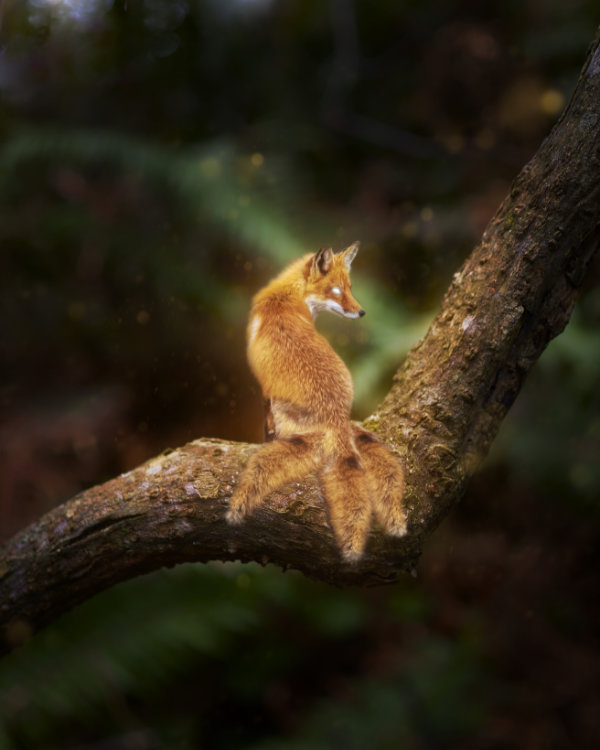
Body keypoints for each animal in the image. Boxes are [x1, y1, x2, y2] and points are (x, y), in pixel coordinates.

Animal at [226, 242, 407, 561]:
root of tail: (336, 417)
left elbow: (265, 423)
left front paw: (265, 437)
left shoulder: (265, 389)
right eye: (336, 291)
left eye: (349, 288)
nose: (361, 312)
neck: (286, 298)